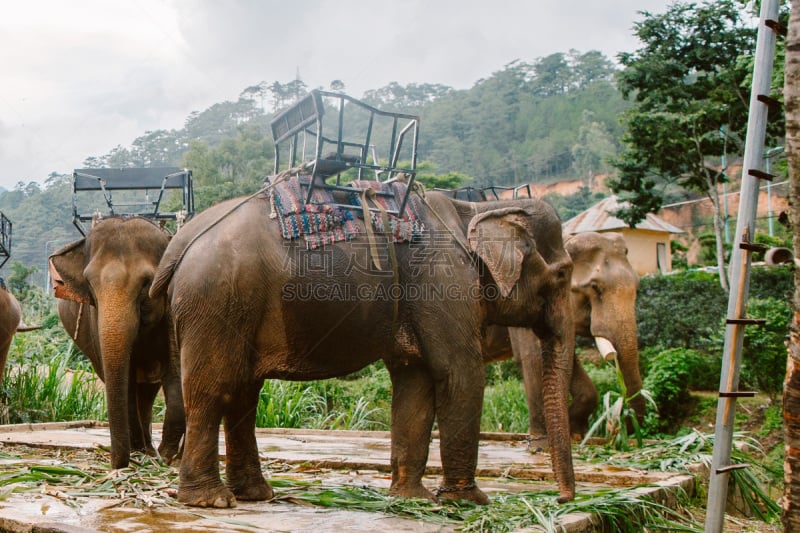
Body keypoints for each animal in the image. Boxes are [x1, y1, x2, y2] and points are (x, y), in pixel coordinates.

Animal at [50, 215, 186, 466]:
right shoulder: (94, 318)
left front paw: (168, 455)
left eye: (147, 283)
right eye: (90, 284)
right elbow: (127, 379)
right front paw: (142, 453)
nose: (118, 463)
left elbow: (176, 372)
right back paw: (145, 451)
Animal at [148, 186, 576, 508]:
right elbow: (460, 374)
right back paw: (211, 501)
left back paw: (256, 495)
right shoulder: (444, 283)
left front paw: (413, 499)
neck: (476, 208)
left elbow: (414, 382)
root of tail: (178, 244)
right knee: (214, 392)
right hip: (216, 301)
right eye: (564, 274)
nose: (563, 500)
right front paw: (470, 502)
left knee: (243, 395)